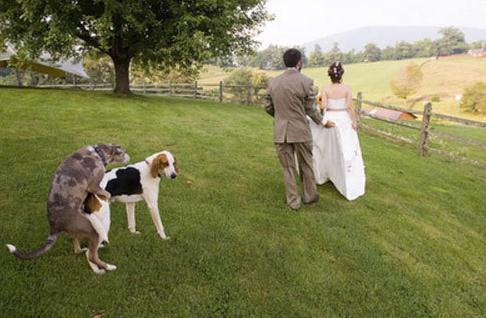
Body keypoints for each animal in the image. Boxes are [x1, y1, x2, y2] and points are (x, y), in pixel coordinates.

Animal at [5, 145, 130, 274]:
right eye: (124, 152)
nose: (129, 157)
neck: (98, 153)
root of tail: (53, 226)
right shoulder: (93, 186)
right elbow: (107, 193)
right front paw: (107, 198)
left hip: (77, 230)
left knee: (80, 249)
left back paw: (89, 249)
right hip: (90, 229)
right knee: (92, 256)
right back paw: (108, 266)